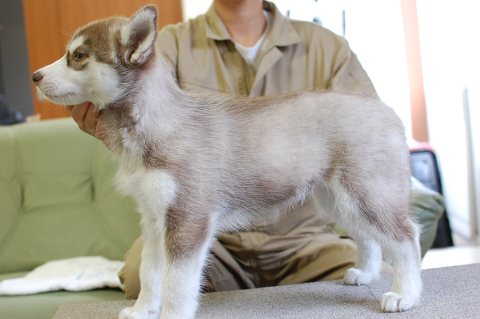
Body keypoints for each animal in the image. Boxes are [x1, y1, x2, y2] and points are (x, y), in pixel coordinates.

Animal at [32, 5, 420, 319]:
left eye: (79, 55)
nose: (35, 76)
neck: (155, 121)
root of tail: (383, 107)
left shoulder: (188, 221)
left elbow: (176, 282)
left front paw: (171, 314)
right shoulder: (154, 219)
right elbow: (149, 272)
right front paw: (142, 311)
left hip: (368, 192)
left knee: (406, 238)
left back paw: (405, 294)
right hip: (338, 199)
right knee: (367, 235)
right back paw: (365, 273)